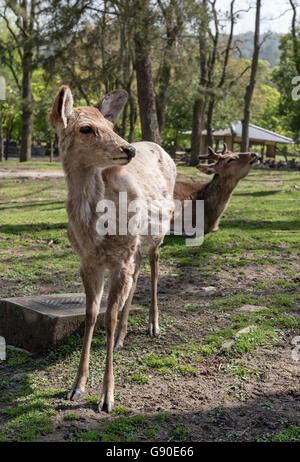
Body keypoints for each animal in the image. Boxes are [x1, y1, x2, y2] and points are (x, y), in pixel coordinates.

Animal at [49, 85, 176, 414]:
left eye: (110, 125)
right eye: (86, 128)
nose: (128, 150)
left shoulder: (118, 259)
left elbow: (109, 316)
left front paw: (107, 397)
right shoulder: (88, 261)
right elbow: (93, 314)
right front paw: (76, 387)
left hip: (160, 227)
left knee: (154, 261)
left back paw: (153, 325)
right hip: (133, 247)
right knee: (139, 266)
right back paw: (121, 339)